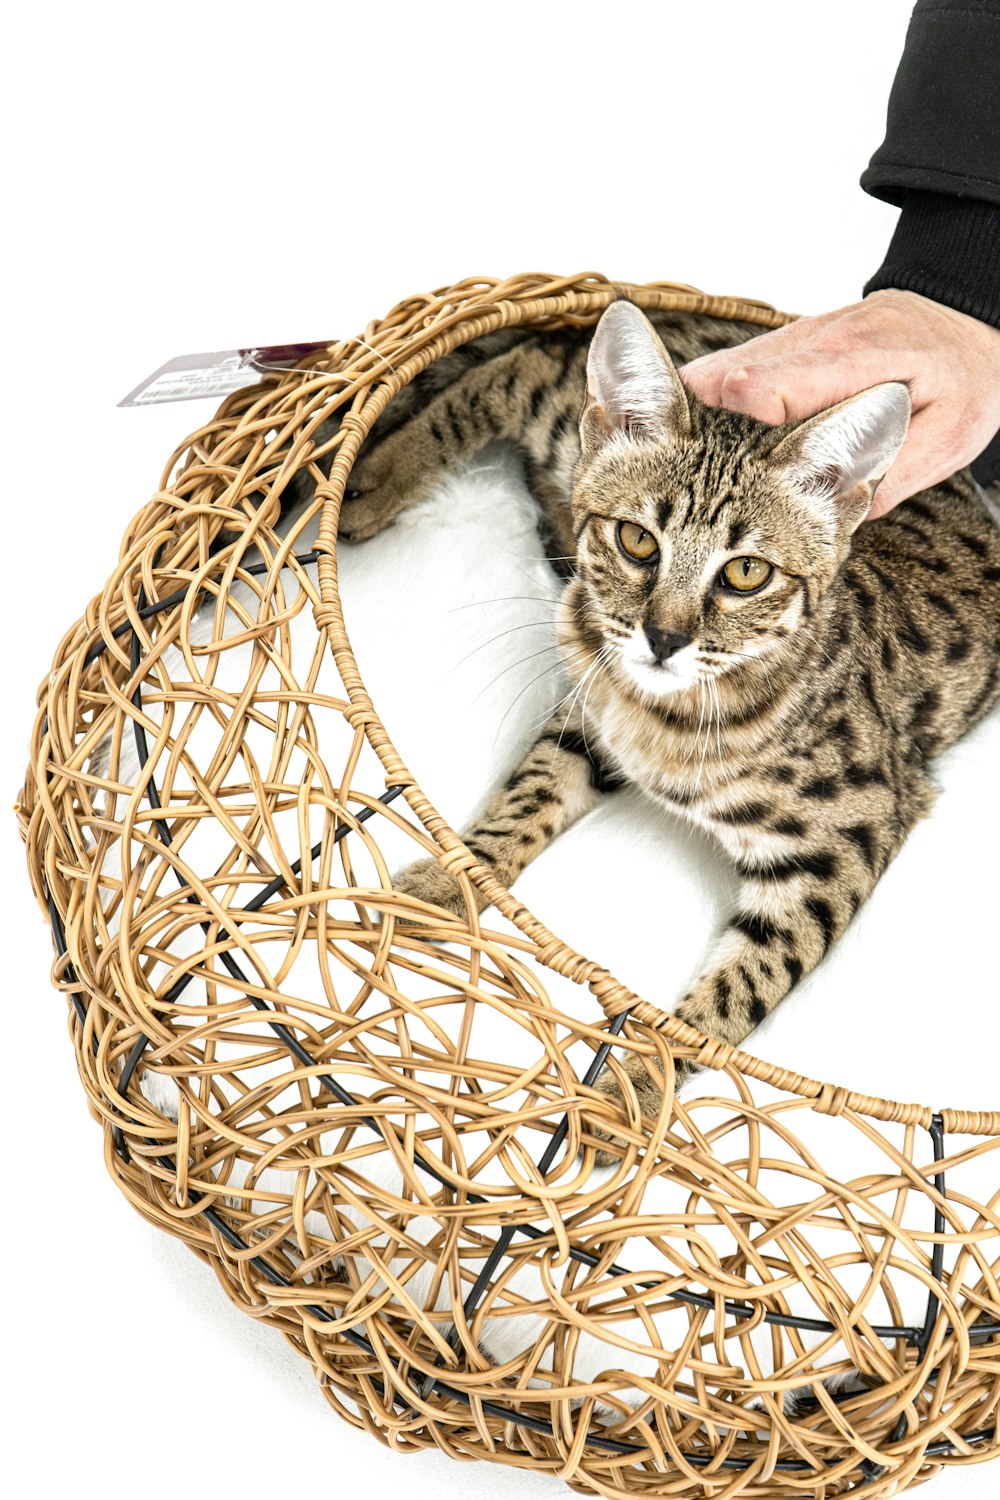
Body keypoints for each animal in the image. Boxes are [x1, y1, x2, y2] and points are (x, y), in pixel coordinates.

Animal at [310, 295, 1000, 1158]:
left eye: (746, 574)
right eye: (638, 540)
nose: (663, 637)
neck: (668, 712)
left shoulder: (845, 841)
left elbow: (736, 993)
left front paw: (637, 1091)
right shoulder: (589, 711)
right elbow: (523, 798)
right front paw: (450, 880)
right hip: (567, 421)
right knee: (520, 366)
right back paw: (372, 481)